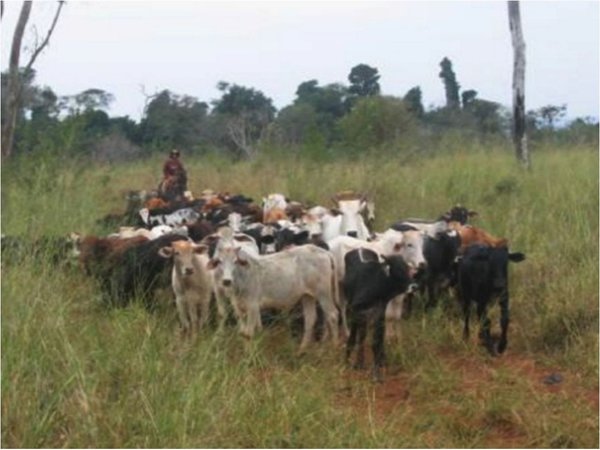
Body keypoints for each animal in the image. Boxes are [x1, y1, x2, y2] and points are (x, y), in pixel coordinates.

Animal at [342, 248, 418, 382]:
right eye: (398, 269)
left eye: (408, 269)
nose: (414, 287)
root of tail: (360, 248)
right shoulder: (356, 311)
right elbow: (353, 338)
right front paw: (348, 362)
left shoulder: (379, 314)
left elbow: (376, 342)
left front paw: (376, 373)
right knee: (360, 336)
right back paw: (359, 362)